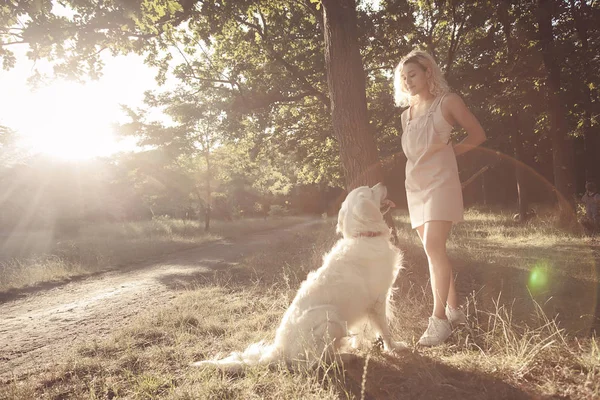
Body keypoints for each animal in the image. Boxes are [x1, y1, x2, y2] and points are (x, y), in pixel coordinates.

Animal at [195, 183, 406, 370]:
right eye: (371, 189)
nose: (382, 182)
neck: (364, 236)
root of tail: (280, 350)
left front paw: (363, 344)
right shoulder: (378, 300)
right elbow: (385, 330)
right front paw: (394, 347)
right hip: (330, 317)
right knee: (312, 363)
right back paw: (344, 358)